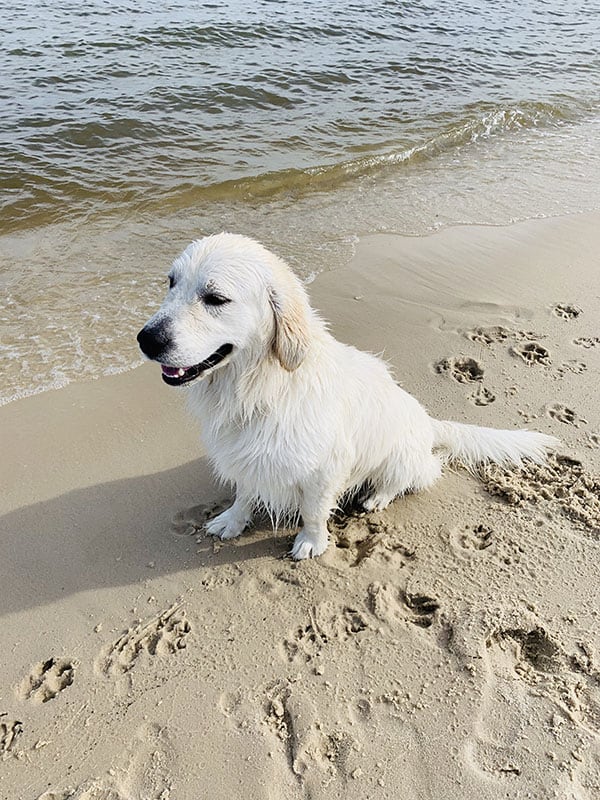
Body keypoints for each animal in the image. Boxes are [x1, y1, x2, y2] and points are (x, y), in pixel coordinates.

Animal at [138, 234, 560, 560]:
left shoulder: (325, 467)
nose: (146, 339)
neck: (260, 385)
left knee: (414, 477)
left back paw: (377, 498)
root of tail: (428, 422)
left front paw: (311, 542)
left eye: (215, 298)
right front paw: (232, 519)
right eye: (171, 283)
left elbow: (313, 510)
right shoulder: (244, 455)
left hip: (401, 457)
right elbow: (244, 491)